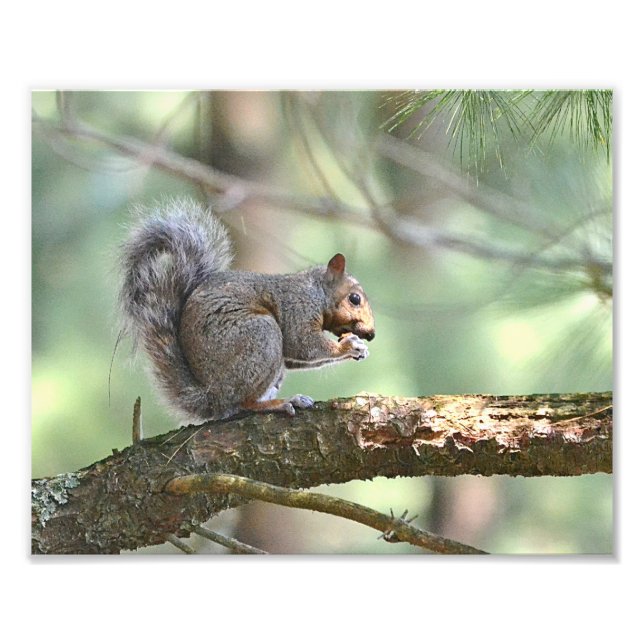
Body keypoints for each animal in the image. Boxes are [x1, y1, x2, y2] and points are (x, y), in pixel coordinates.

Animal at [118, 198, 375, 422]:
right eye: (354, 299)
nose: (371, 334)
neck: (316, 291)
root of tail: (213, 395)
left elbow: (296, 357)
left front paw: (359, 349)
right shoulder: (297, 308)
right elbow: (302, 343)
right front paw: (349, 346)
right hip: (261, 336)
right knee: (244, 403)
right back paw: (279, 403)